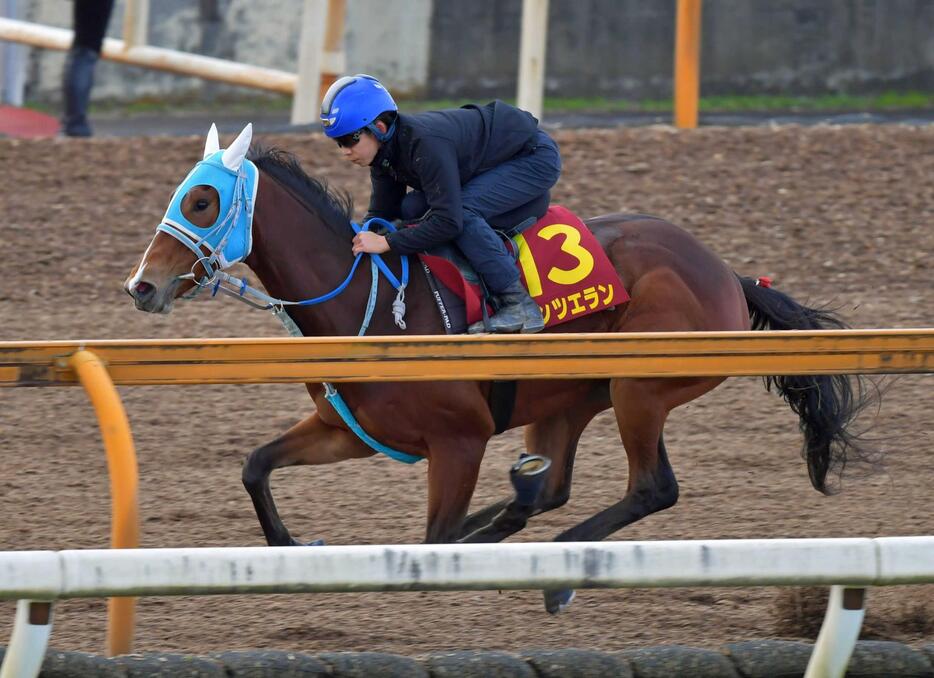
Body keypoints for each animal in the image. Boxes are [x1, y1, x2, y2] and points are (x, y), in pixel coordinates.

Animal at [126, 125, 876, 612]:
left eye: (201, 201)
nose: (141, 287)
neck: (365, 301)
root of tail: (726, 273)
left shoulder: (458, 440)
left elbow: (436, 539)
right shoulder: (349, 428)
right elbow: (255, 466)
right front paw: (292, 545)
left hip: (638, 386)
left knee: (650, 489)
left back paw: (558, 570)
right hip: (573, 399)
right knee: (556, 487)